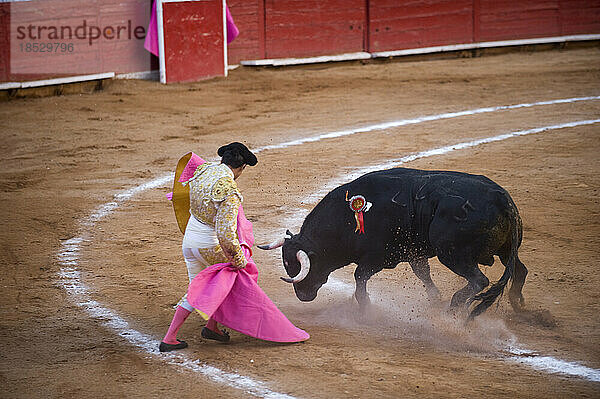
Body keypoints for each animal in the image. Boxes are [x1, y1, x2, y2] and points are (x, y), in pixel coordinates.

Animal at [260, 167, 528, 320]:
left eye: (298, 266)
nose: (303, 296)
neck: (347, 216)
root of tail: (502, 198)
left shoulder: (378, 257)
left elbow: (359, 277)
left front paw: (365, 308)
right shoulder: (413, 253)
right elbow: (423, 274)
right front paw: (435, 299)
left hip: (452, 254)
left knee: (479, 280)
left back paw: (453, 308)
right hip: (505, 252)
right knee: (520, 271)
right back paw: (520, 307)